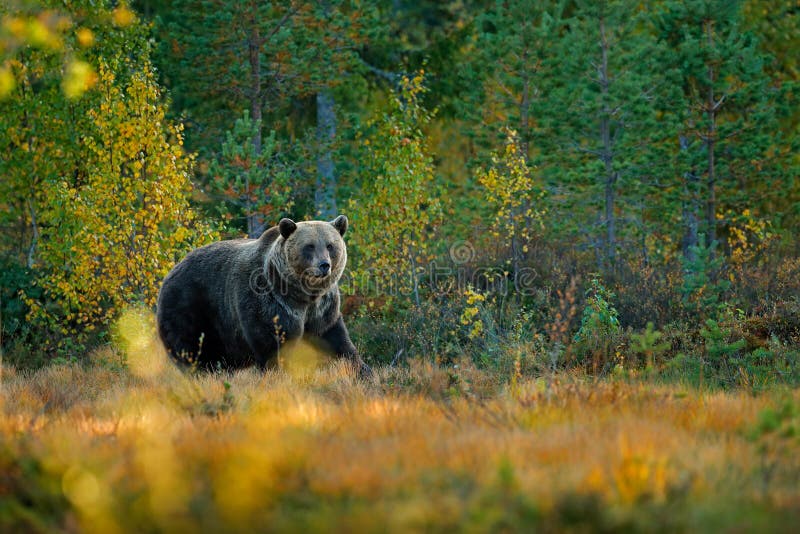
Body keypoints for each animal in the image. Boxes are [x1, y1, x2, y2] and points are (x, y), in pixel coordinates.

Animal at [155, 217, 368, 376]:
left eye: (330, 245)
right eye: (309, 246)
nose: (324, 265)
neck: (301, 294)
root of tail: (172, 270)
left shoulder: (322, 308)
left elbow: (336, 339)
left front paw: (361, 370)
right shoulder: (268, 300)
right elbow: (271, 342)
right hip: (189, 305)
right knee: (190, 349)